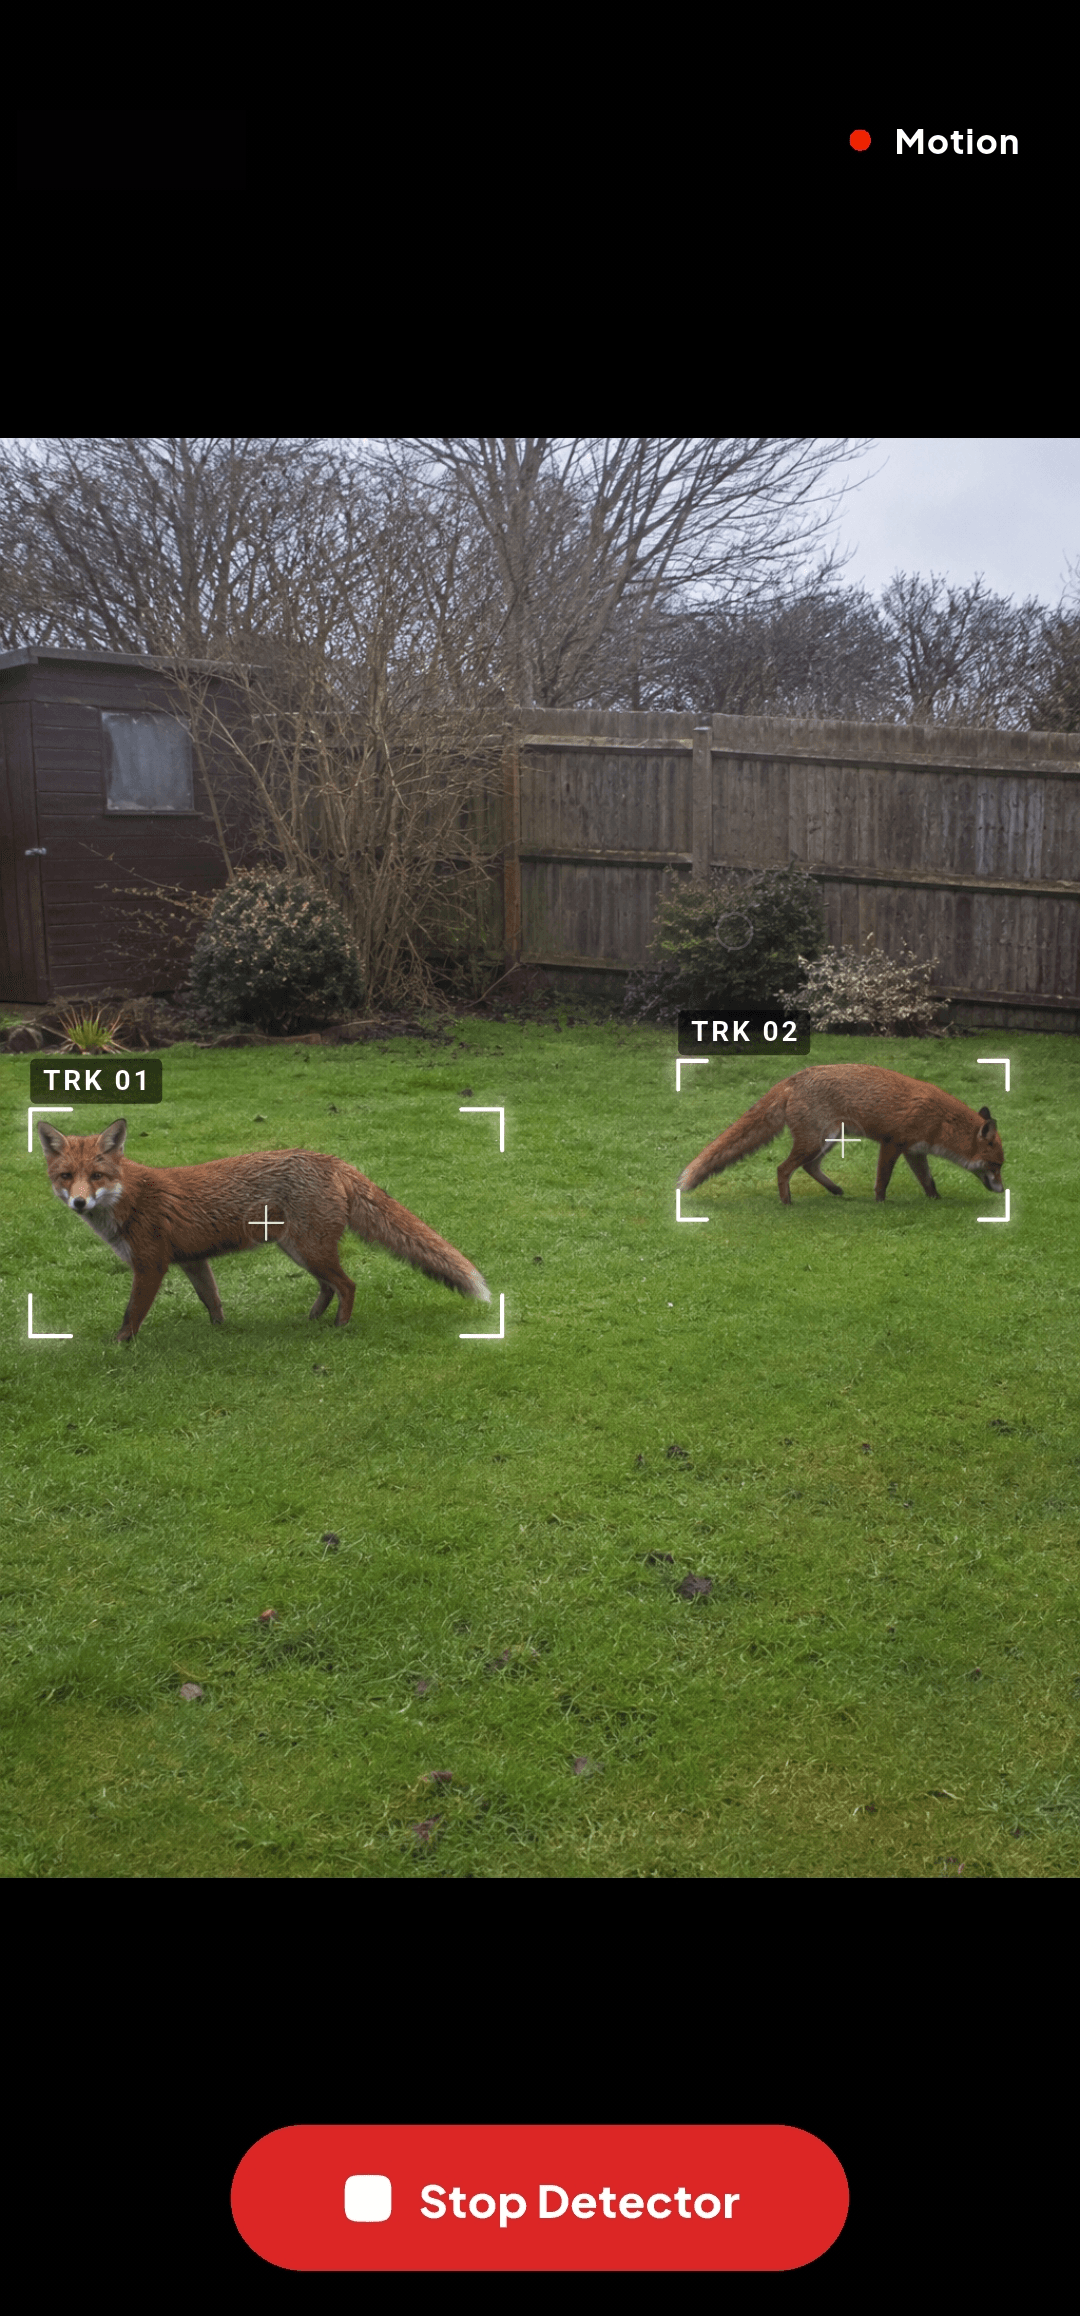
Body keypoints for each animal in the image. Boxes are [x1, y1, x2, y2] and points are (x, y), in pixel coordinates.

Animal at [38, 1117, 490, 1341]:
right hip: (298, 1250)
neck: (128, 1199)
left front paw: (119, 1346)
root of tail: (330, 1159)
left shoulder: (151, 1266)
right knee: (329, 1286)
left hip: (310, 1250)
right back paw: (312, 1318)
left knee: (348, 1285)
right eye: (66, 1177)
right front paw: (221, 1334)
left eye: (96, 1176)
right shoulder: (193, 1261)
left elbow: (131, 1314)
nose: (79, 1202)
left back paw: (340, 1327)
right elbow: (212, 1302)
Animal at [677, 1064, 1005, 1207]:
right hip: (815, 1141)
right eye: (997, 1165)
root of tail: (793, 1077)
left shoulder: (915, 1151)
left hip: (828, 1140)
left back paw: (834, 1190)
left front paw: (936, 1200)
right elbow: (883, 1180)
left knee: (808, 1167)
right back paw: (787, 1202)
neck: (939, 1120)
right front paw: (880, 1204)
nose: (1003, 1190)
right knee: (783, 1168)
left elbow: (928, 1180)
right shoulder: (892, 1143)